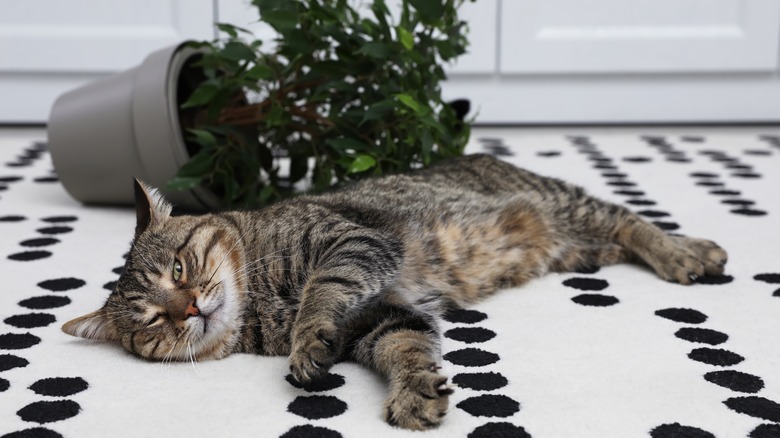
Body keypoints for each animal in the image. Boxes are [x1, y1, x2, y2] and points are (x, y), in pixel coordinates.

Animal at [64, 154, 728, 432]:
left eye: (178, 270)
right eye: (153, 321)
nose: (190, 308)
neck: (261, 305)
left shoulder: (351, 242)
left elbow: (322, 291)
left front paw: (306, 338)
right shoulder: (382, 318)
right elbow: (406, 349)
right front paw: (416, 392)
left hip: (567, 207)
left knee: (630, 219)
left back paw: (688, 252)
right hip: (578, 247)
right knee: (617, 236)